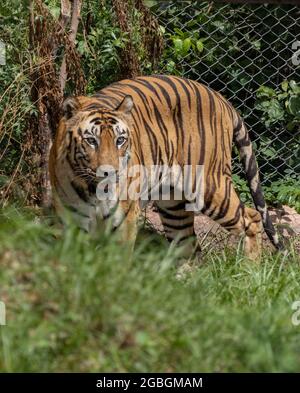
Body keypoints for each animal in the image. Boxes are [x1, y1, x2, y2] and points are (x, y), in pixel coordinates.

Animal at [49, 74, 284, 258]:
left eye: (120, 140)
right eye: (91, 141)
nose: (110, 173)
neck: (93, 189)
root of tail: (220, 98)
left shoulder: (124, 221)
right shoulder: (72, 222)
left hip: (208, 185)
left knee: (252, 218)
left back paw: (250, 271)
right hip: (172, 203)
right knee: (189, 245)